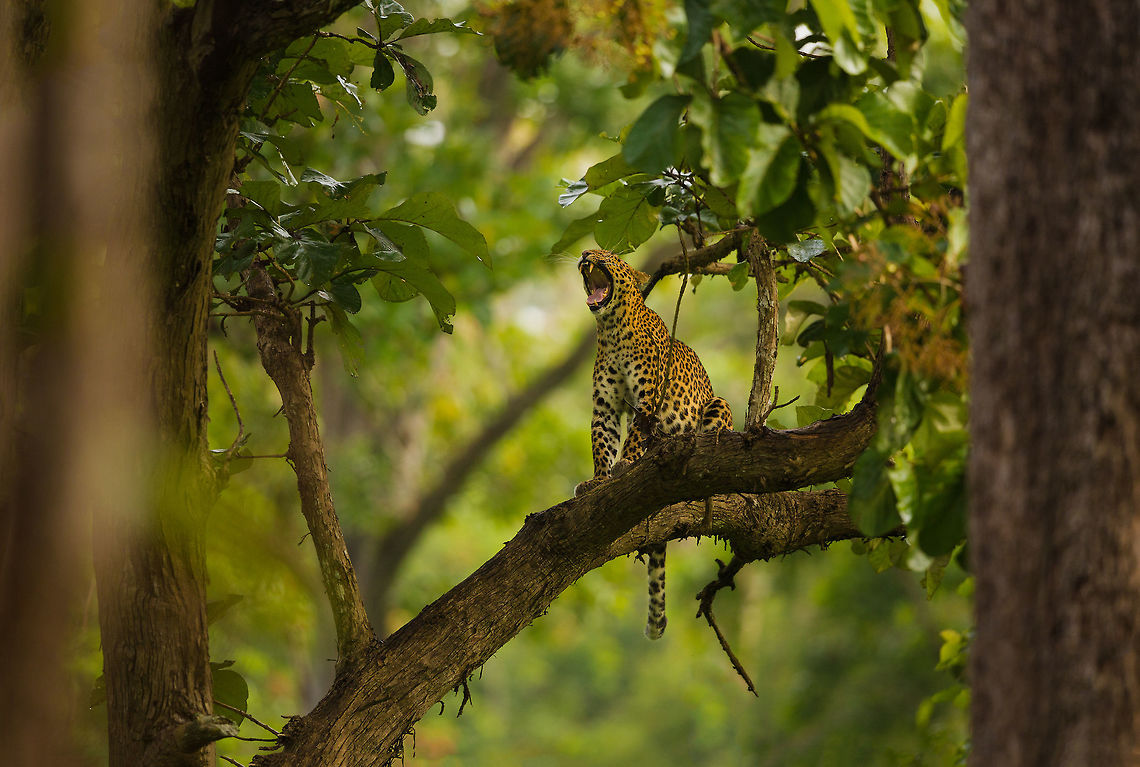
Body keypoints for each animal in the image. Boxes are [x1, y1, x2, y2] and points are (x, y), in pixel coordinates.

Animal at [573, 248, 733, 639]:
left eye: (608, 255)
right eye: (591, 250)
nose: (586, 254)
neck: (611, 328)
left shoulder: (647, 399)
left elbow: (633, 438)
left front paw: (627, 465)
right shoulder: (605, 406)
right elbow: (602, 443)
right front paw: (597, 480)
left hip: (717, 404)